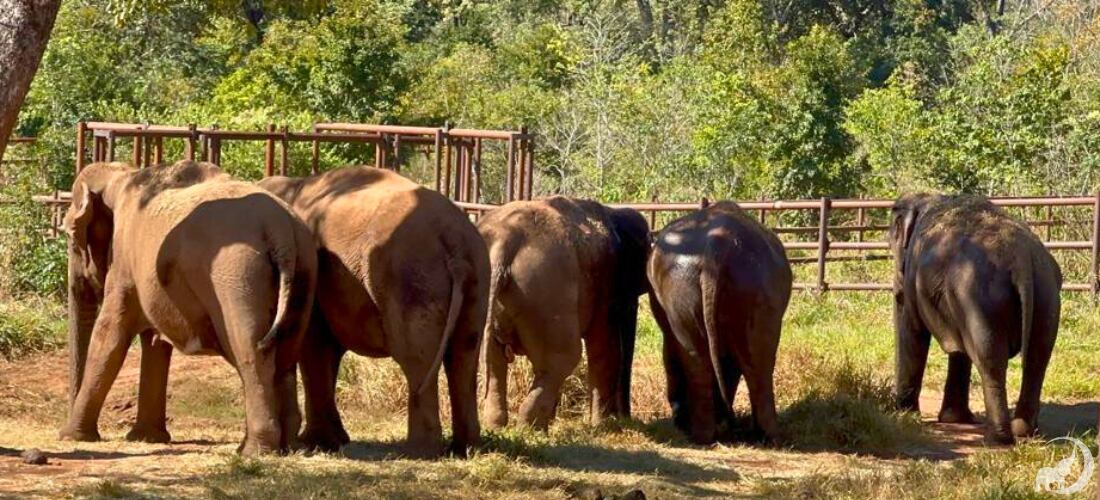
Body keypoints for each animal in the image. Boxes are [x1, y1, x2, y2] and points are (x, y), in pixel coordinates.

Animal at [59, 161, 316, 457]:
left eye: (71, 236)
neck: (121, 174)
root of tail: (279, 229)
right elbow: (154, 343)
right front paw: (146, 437)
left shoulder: (124, 261)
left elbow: (110, 335)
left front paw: (71, 437)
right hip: (305, 268)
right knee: (288, 350)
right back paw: (288, 446)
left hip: (237, 274)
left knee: (250, 348)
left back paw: (254, 451)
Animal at [259, 167, 488, 457]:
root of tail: (455, 243)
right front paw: (335, 440)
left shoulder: (311, 272)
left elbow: (315, 346)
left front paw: (317, 443)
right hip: (476, 279)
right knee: (464, 355)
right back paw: (465, 449)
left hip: (410, 279)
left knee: (417, 359)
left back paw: (417, 451)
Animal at [477, 195, 646, 430]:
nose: (626, 418)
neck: (614, 214)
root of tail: (504, 241)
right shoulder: (604, 286)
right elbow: (605, 346)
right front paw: (601, 426)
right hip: (545, 290)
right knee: (563, 357)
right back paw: (531, 428)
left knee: (494, 359)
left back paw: (499, 426)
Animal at [642, 201, 792, 443]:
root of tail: (719, 243)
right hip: (756, 288)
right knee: (756, 359)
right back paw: (764, 436)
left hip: (692, 288)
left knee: (700, 358)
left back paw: (705, 435)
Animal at [888, 193, 1060, 443]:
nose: (893, 404)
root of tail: (1022, 260)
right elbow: (959, 349)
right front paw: (953, 419)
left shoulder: (913, 278)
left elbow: (914, 333)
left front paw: (905, 415)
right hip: (1045, 297)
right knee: (1037, 360)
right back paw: (1023, 432)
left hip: (980, 298)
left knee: (990, 360)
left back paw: (996, 439)